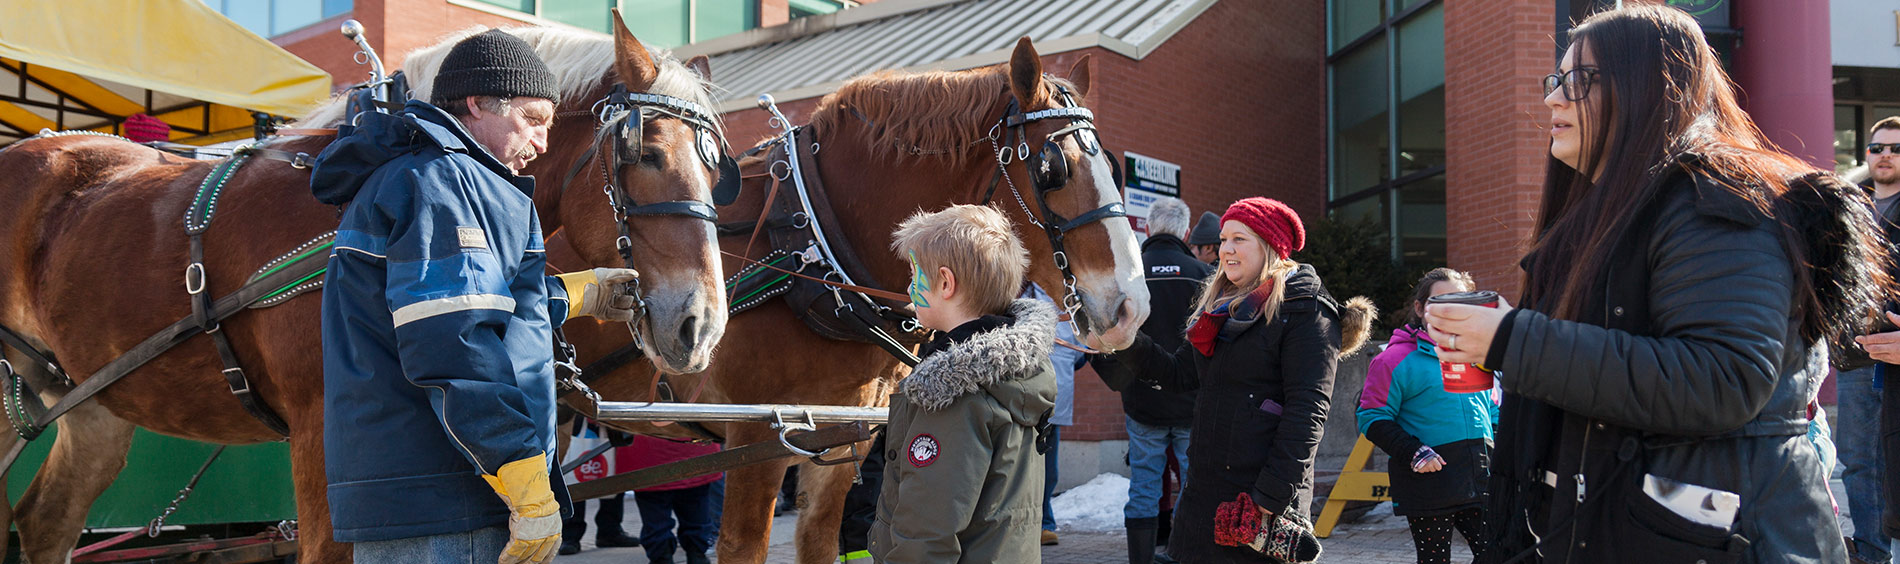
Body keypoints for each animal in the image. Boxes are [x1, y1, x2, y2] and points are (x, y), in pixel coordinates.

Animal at [0, 21, 725, 562]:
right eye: (645, 153)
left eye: (716, 170)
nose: (702, 326)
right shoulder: (323, 436)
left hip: (91, 400)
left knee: (43, 523)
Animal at [543, 39, 1147, 562]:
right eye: (1052, 168)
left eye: (1114, 167)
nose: (1133, 309)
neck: (815, 254)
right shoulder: (757, 435)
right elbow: (743, 546)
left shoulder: (836, 439)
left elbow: (820, 540)